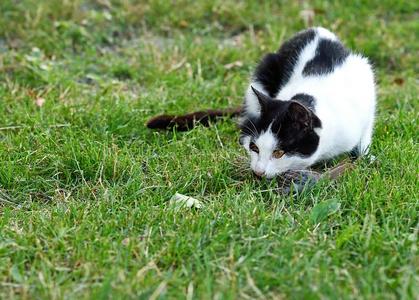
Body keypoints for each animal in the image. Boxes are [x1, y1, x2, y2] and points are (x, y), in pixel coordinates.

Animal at [148, 27, 378, 178]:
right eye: (254, 148)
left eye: (279, 152)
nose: (258, 171)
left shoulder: (366, 86)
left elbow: (365, 134)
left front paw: (366, 156)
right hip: (262, 72)